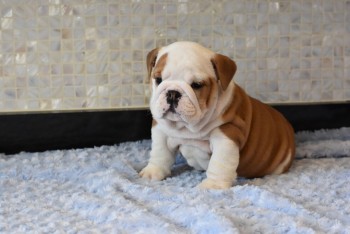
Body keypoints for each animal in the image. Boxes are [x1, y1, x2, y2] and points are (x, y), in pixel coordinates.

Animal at [139, 41, 296, 189]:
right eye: (158, 79)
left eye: (197, 85)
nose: (172, 93)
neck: (189, 128)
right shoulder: (161, 130)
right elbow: (160, 153)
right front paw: (152, 172)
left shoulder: (227, 134)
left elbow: (220, 163)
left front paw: (213, 185)